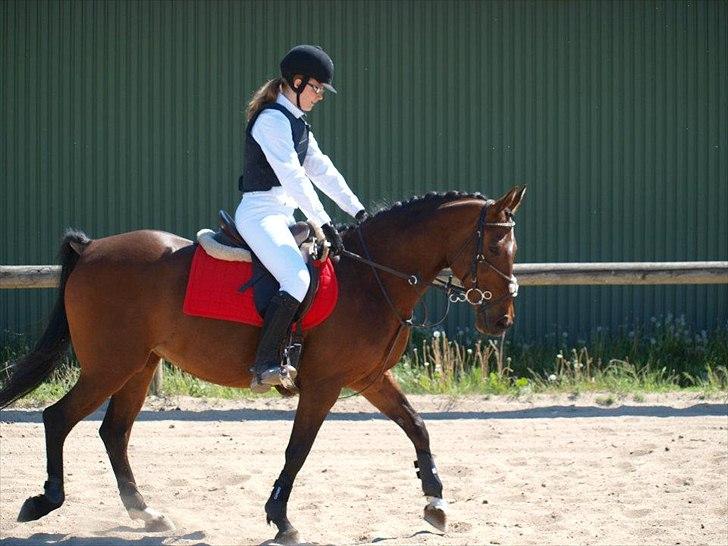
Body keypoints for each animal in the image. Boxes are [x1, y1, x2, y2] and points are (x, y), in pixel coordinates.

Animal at [0, 186, 524, 540]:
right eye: (493, 249)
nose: (502, 320)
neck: (373, 277)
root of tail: (91, 248)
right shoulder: (324, 385)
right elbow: (298, 450)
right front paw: (281, 518)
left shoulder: (371, 378)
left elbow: (417, 426)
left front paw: (435, 502)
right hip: (111, 365)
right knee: (58, 418)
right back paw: (46, 500)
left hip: (139, 366)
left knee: (114, 433)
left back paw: (146, 513)